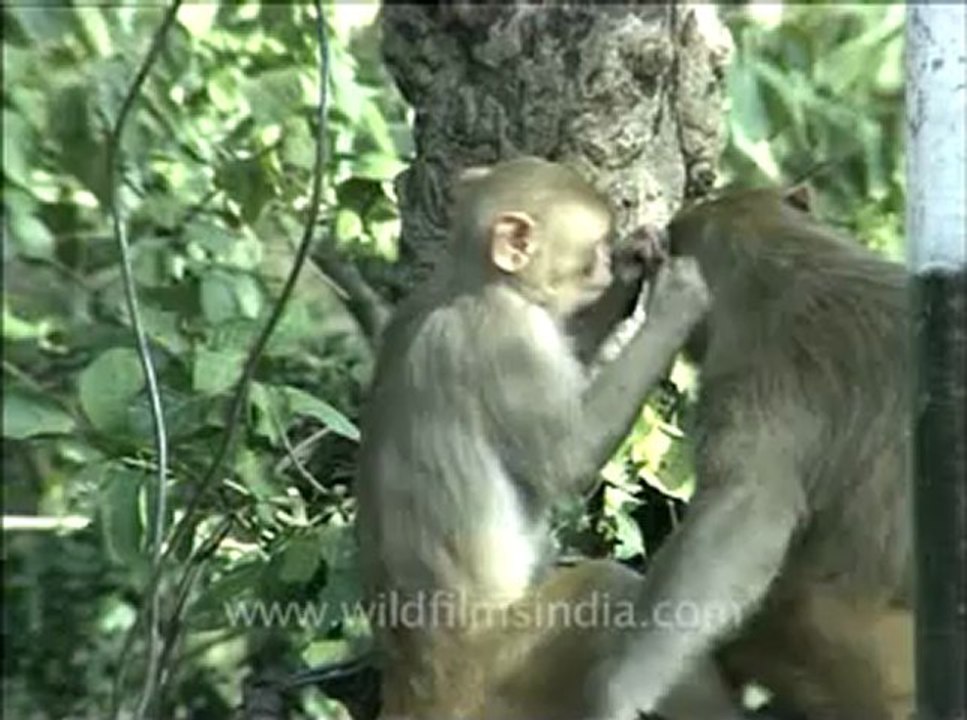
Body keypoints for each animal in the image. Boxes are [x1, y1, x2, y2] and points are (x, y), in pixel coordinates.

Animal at [353, 156, 734, 719]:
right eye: (592, 252)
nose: (608, 265)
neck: (470, 284)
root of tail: (412, 691)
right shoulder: (509, 339)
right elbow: (571, 460)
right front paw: (675, 302)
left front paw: (633, 268)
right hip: (503, 676)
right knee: (606, 591)